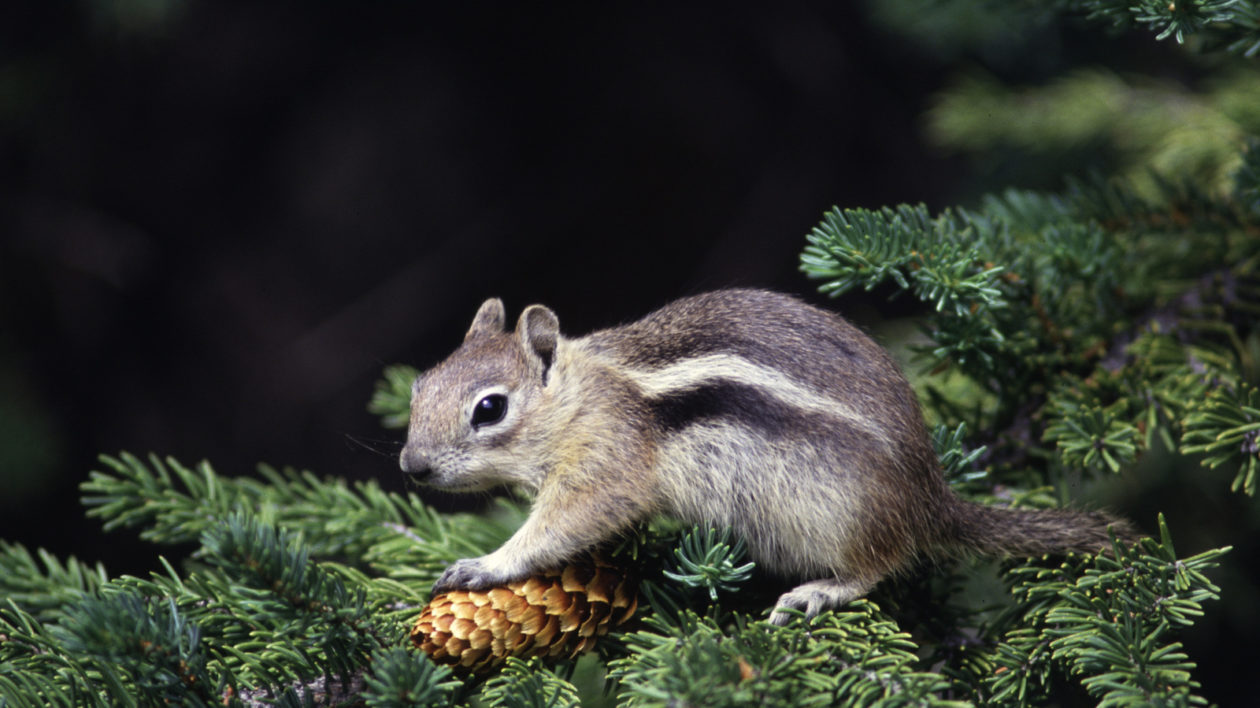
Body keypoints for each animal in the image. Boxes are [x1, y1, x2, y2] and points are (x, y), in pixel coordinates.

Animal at [403, 284, 1134, 617]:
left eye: (490, 409)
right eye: (418, 386)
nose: (411, 465)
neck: (583, 397)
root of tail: (931, 499)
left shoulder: (606, 466)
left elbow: (559, 526)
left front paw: (483, 564)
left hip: (836, 513)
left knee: (880, 565)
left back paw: (819, 592)